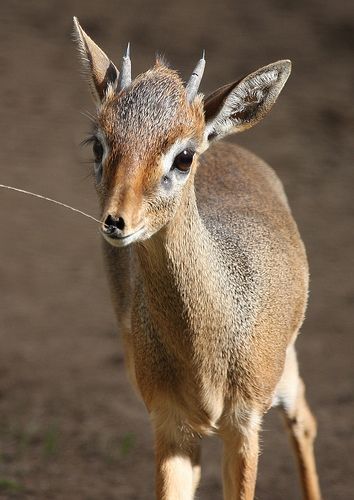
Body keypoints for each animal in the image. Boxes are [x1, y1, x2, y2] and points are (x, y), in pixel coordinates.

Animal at [74, 17, 320, 498]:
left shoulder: (244, 424)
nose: (116, 221)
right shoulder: (168, 422)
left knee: (304, 419)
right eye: (98, 144)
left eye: (183, 156)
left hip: (283, 375)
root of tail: (226, 142)